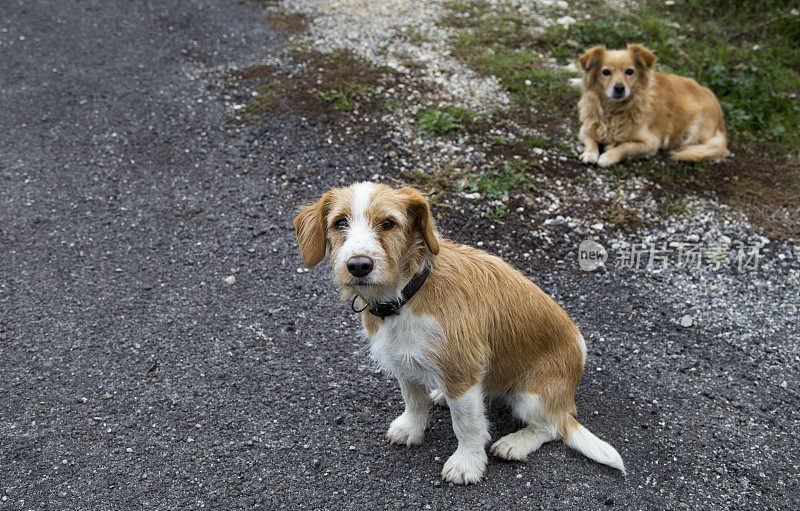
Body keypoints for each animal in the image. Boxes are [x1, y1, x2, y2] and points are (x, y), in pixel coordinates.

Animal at [294, 183, 624, 484]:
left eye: (388, 223)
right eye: (340, 223)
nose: (359, 265)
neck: (408, 293)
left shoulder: (462, 374)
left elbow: (467, 425)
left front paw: (467, 463)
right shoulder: (404, 361)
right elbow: (413, 399)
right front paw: (413, 428)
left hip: (531, 396)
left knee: (553, 427)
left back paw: (516, 443)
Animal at [580, 44, 728, 167]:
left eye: (629, 71)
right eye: (606, 72)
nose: (619, 88)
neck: (614, 110)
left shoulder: (651, 142)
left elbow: (626, 146)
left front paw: (609, 155)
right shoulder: (585, 128)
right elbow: (590, 140)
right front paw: (590, 153)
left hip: (692, 129)